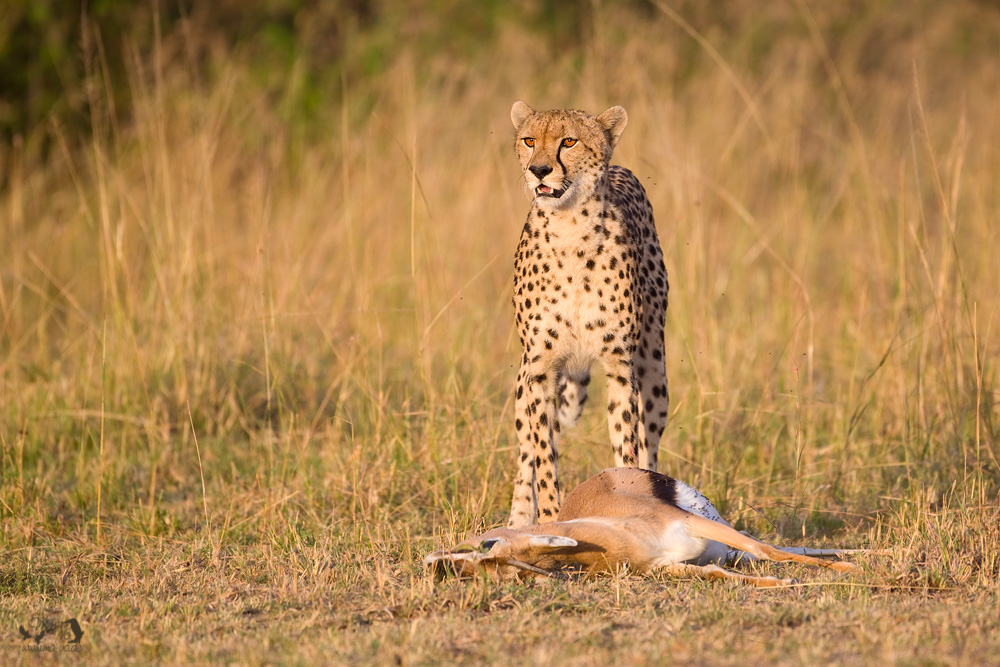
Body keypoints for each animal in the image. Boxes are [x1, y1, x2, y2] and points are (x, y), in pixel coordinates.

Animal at [512, 100, 668, 528]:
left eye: (568, 141)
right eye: (529, 140)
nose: (539, 169)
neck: (570, 229)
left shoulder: (620, 367)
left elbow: (628, 447)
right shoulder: (541, 368)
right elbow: (543, 456)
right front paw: (550, 520)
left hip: (655, 369)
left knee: (650, 443)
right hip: (522, 381)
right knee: (525, 453)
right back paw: (518, 520)